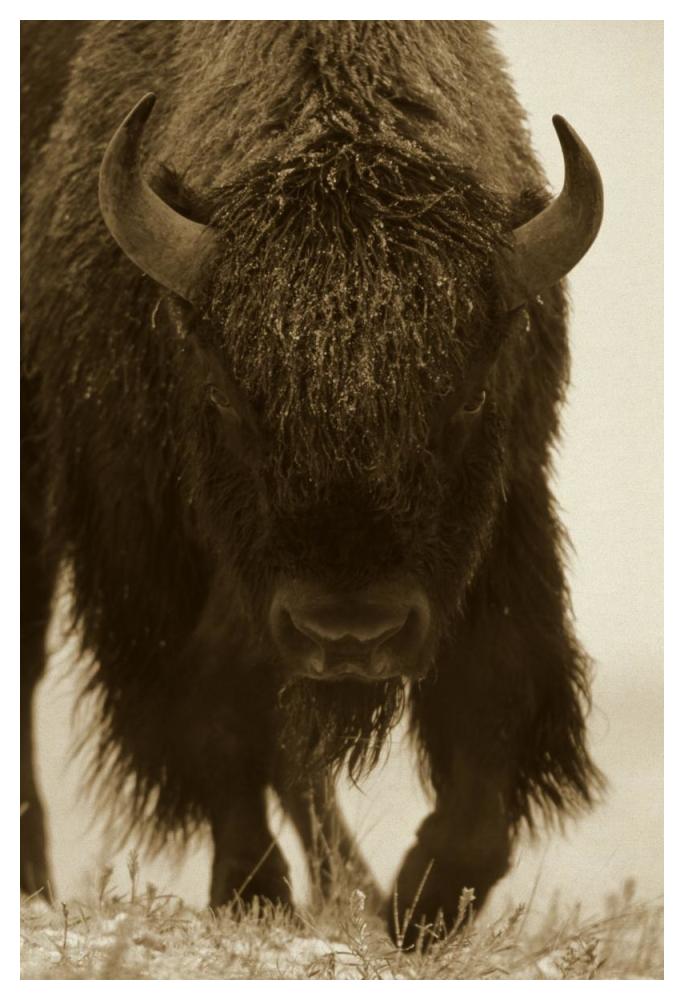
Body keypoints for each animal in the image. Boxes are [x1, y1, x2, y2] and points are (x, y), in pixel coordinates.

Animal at [21, 21, 604, 946]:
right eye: (225, 393)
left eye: (470, 396)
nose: (351, 633)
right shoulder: (151, 546)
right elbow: (214, 706)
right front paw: (252, 891)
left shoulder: (505, 515)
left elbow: (493, 701)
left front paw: (418, 906)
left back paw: (351, 888)